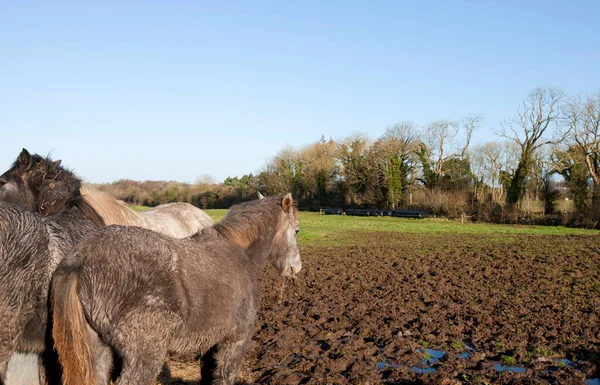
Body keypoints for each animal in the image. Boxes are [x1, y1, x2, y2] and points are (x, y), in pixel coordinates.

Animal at [52, 195, 300, 384]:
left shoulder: (210, 345)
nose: (295, 268)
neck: (241, 254)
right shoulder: (235, 341)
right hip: (143, 357)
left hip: (98, 352)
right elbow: (224, 377)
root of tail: (80, 260)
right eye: (297, 230)